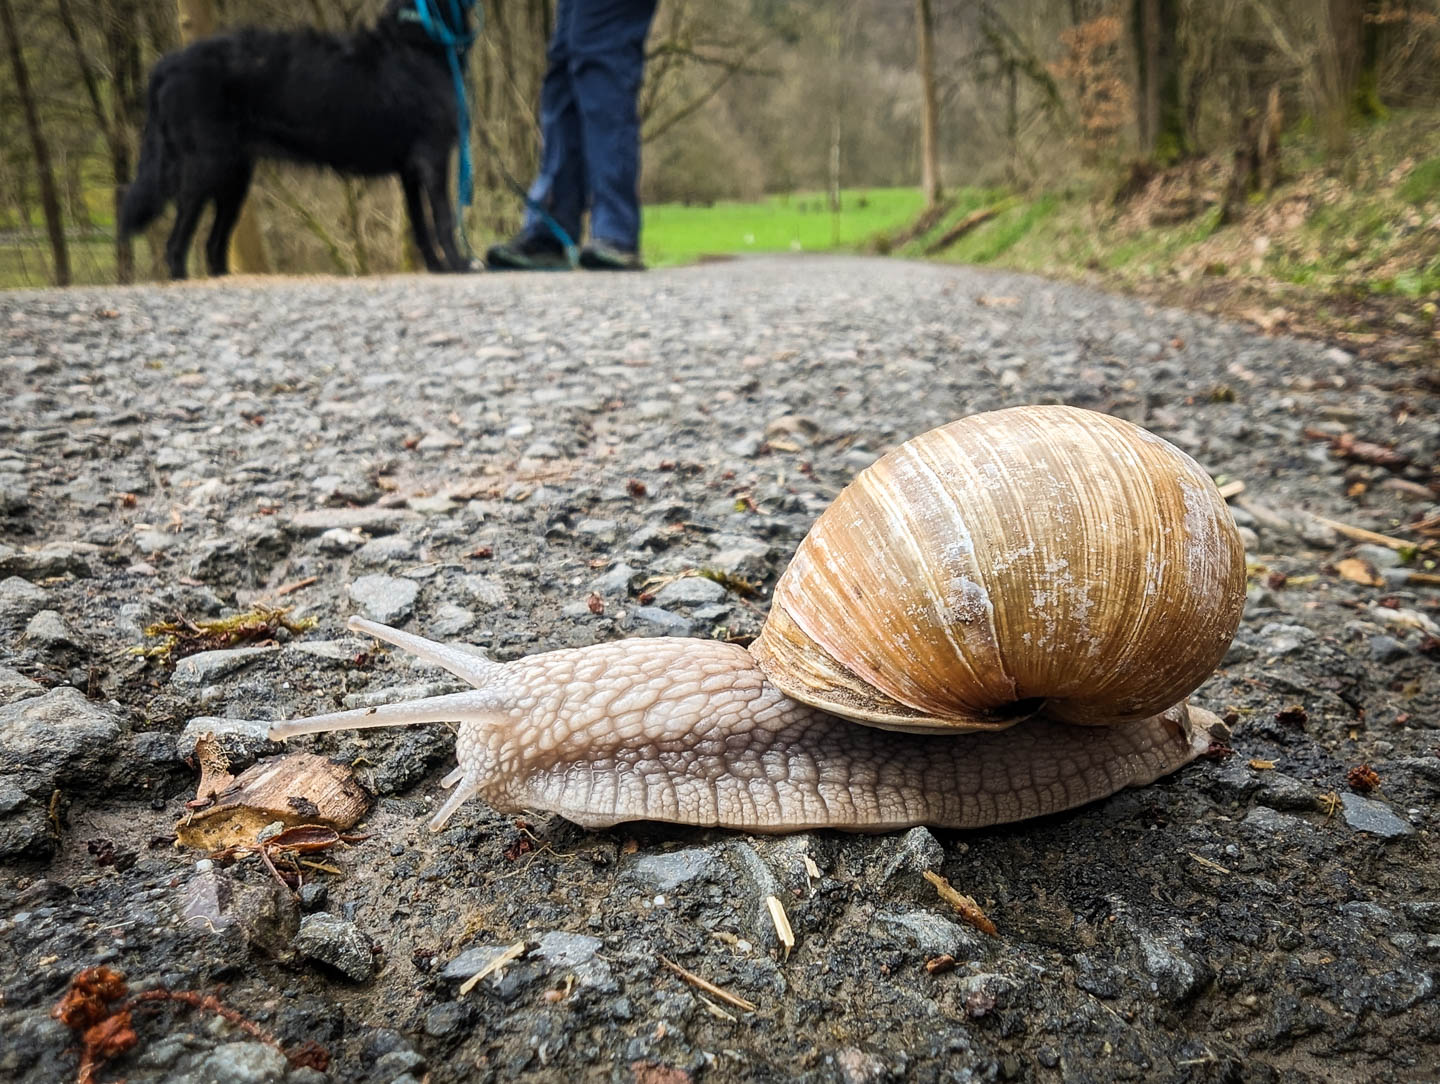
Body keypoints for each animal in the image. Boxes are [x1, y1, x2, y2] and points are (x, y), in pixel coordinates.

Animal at [123, 1, 472, 279]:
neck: (418, 35)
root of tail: (168, 64)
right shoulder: (433, 157)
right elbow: (443, 217)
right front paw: (457, 265)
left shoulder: (410, 170)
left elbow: (421, 224)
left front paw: (437, 267)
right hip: (204, 168)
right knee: (176, 243)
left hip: (234, 178)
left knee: (213, 244)